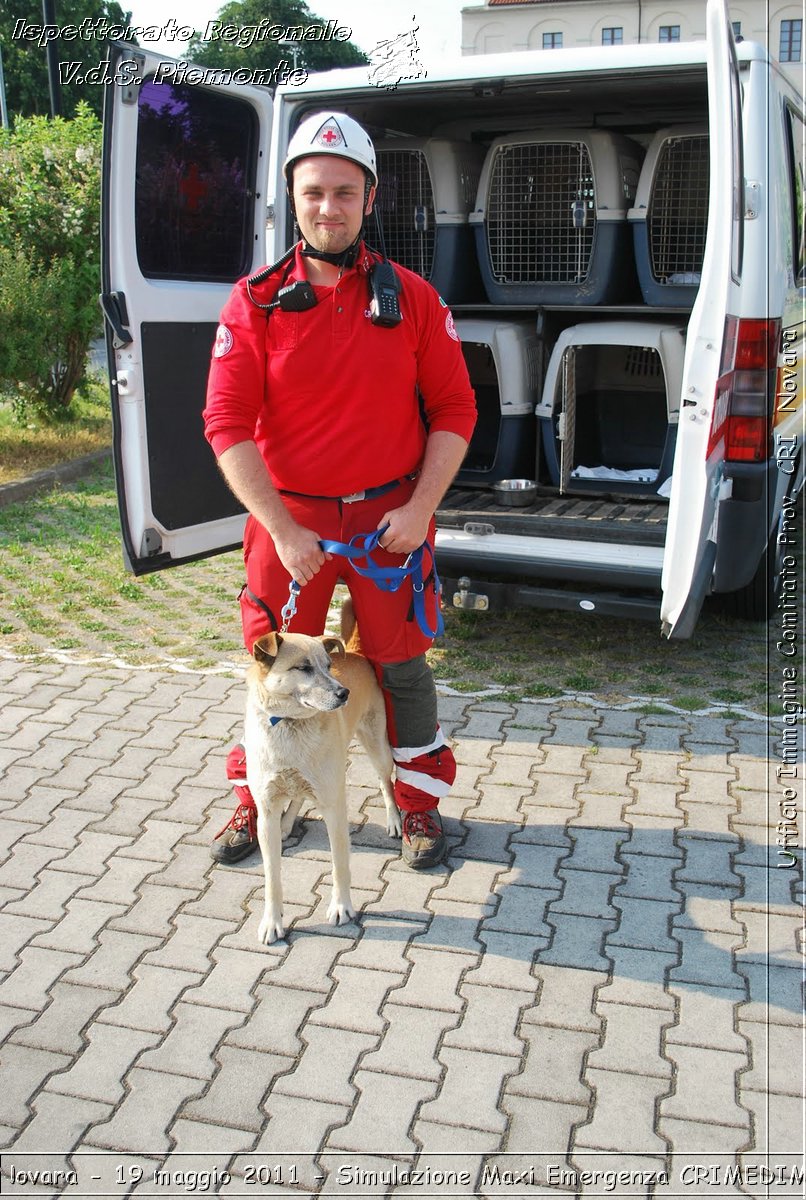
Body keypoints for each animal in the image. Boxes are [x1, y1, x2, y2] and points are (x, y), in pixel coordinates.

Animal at [242, 619, 400, 945]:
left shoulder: (334, 807)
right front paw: (272, 922)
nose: (344, 693)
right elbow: (272, 878)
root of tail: (356, 654)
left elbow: (340, 866)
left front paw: (341, 907)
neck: (290, 723)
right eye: (303, 668)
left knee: (386, 783)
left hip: (378, 747)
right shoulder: (266, 811)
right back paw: (287, 824)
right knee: (298, 794)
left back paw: (395, 820)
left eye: (328, 666)